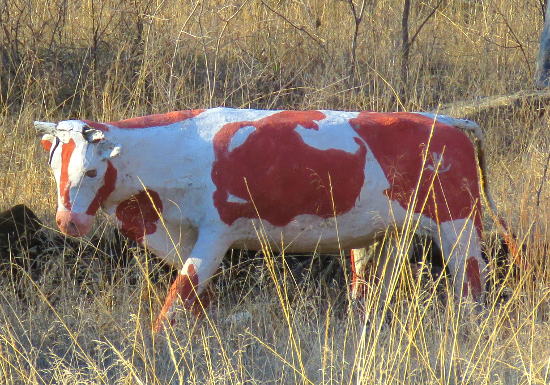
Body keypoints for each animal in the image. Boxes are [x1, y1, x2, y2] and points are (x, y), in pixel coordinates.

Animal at [34, 107, 500, 330]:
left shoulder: (216, 233)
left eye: (90, 172)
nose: (68, 223)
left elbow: (177, 297)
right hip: (378, 236)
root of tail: (448, 121)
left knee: (471, 284)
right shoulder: (179, 235)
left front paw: (152, 345)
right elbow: (198, 297)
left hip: (459, 227)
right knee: (367, 288)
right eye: (53, 169)